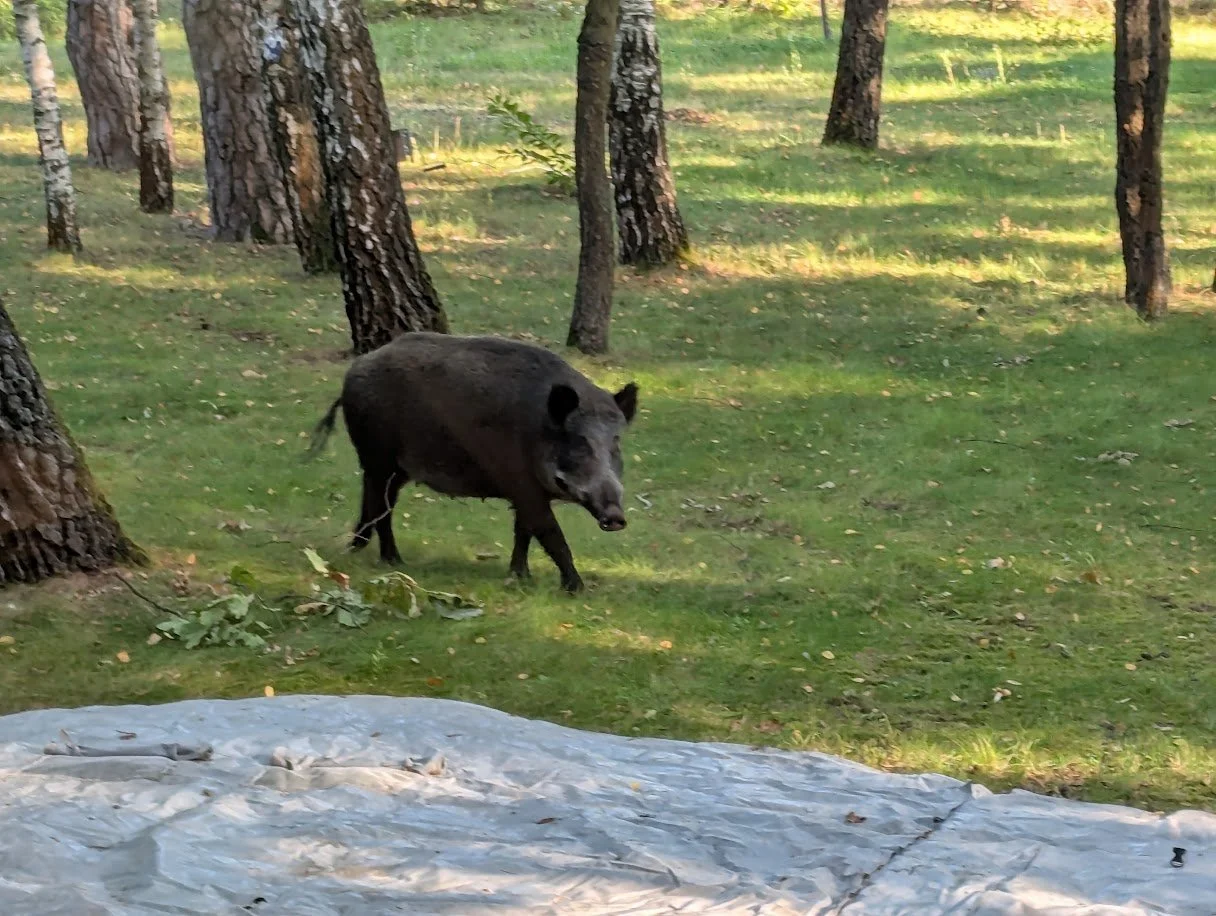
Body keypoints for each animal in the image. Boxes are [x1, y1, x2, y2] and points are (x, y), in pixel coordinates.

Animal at [310, 332, 639, 592]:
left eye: (615, 442)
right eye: (579, 442)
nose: (616, 517)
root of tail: (354, 371)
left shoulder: (523, 489)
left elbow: (523, 531)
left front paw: (520, 577)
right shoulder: (520, 481)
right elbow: (549, 532)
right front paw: (578, 589)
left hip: (392, 468)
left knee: (374, 502)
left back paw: (358, 549)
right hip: (378, 455)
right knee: (383, 509)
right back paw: (393, 561)